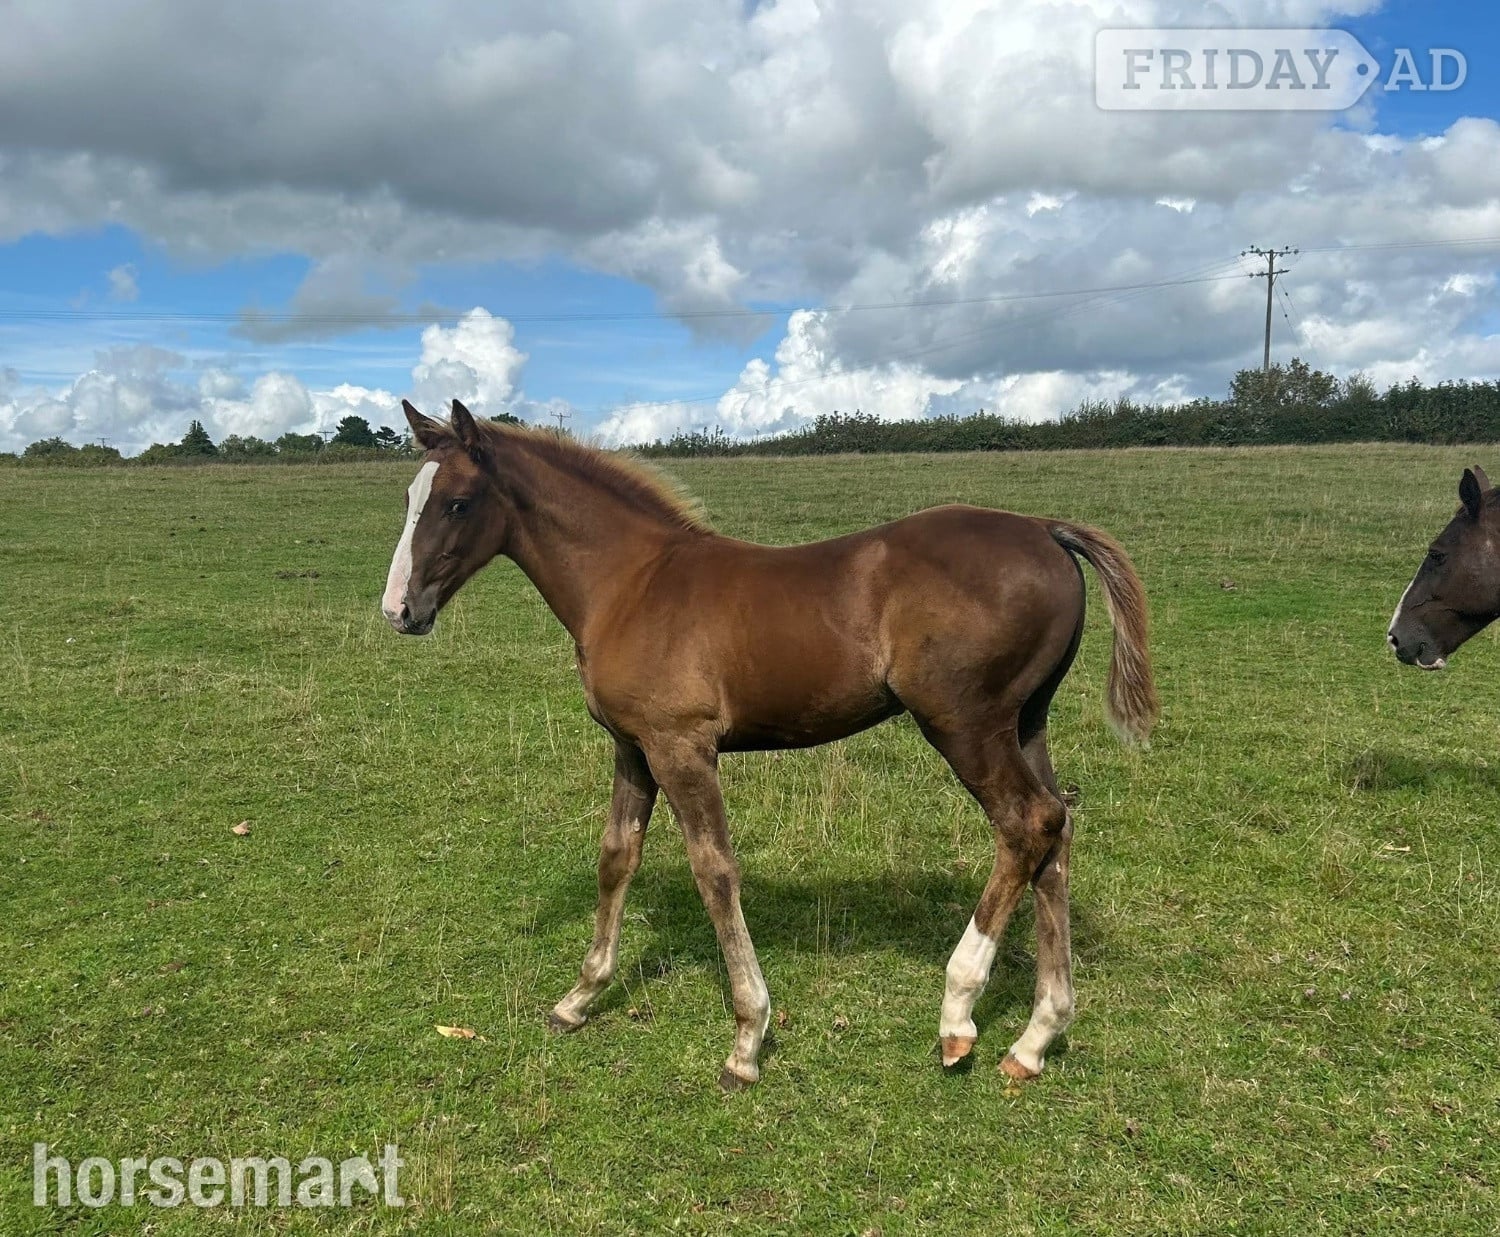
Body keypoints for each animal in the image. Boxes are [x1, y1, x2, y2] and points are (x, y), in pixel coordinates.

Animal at [381, 399, 1158, 1090]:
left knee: (1025, 824)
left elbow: (715, 871)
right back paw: (1035, 1037)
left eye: (456, 503)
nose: (399, 611)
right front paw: (579, 998)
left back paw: (957, 1012)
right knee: (1056, 831)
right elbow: (616, 858)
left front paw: (747, 1039)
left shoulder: (681, 747)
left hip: (965, 724)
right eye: (411, 496)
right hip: (1026, 722)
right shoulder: (633, 748)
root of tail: (1044, 528)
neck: (631, 583)